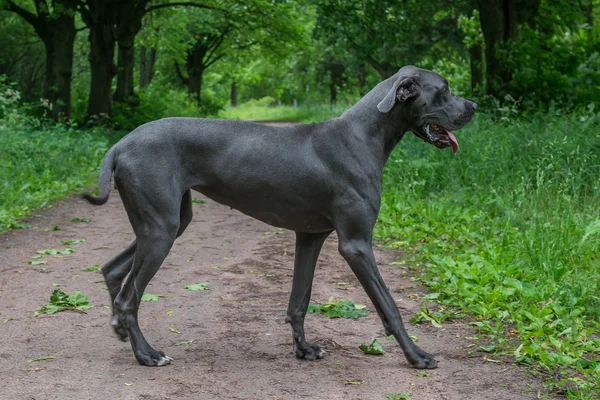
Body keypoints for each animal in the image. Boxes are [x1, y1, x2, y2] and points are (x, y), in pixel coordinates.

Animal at [83, 65, 478, 368]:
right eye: (443, 89)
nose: (474, 105)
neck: (364, 136)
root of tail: (120, 144)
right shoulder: (356, 245)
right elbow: (390, 306)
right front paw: (417, 355)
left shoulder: (310, 236)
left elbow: (299, 301)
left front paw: (303, 348)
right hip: (161, 228)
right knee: (129, 297)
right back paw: (147, 354)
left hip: (169, 223)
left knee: (113, 270)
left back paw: (120, 329)